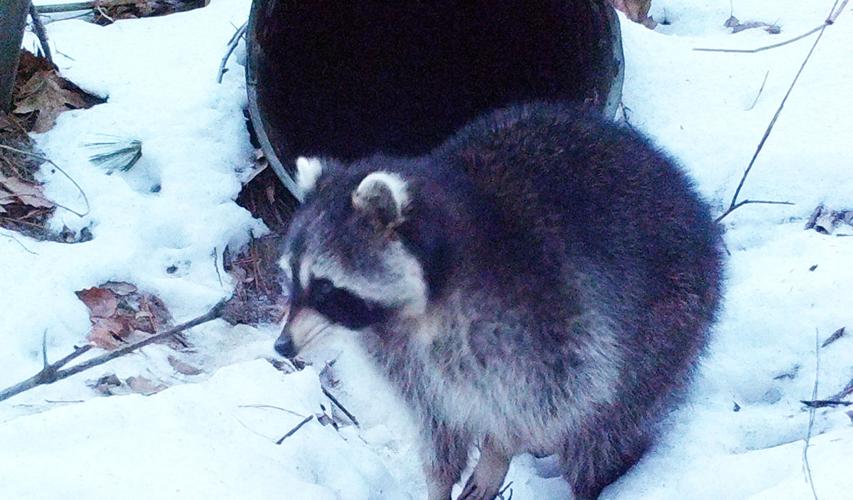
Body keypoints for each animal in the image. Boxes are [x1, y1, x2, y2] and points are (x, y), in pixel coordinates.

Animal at [275, 102, 723, 500]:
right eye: (290, 278)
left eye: (325, 286)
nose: (282, 345)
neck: (417, 311)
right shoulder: (404, 360)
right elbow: (435, 421)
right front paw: (438, 482)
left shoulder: (547, 309)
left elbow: (565, 391)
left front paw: (498, 449)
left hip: (669, 317)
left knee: (604, 428)